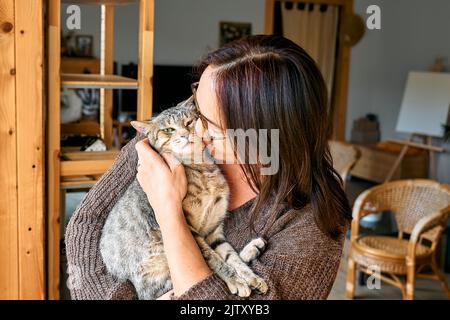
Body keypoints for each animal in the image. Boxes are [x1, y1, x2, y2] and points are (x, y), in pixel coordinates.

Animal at [99, 97, 268, 300]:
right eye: (168, 130)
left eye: (189, 122)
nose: (185, 134)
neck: (202, 169)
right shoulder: (191, 231)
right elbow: (215, 260)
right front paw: (235, 280)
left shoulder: (214, 230)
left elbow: (230, 256)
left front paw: (251, 277)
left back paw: (254, 249)